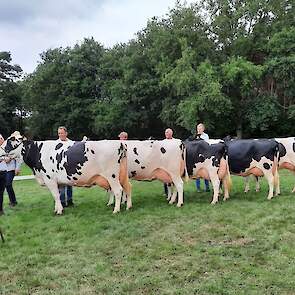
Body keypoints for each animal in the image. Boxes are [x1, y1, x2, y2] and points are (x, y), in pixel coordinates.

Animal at [0, 132, 132, 215]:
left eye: (11, 140)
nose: (0, 149)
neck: (38, 152)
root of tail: (119, 143)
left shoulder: (50, 179)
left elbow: (55, 195)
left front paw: (59, 211)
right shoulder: (58, 182)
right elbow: (58, 195)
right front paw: (58, 209)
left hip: (112, 175)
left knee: (118, 190)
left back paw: (116, 210)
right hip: (122, 174)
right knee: (128, 187)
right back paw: (128, 206)